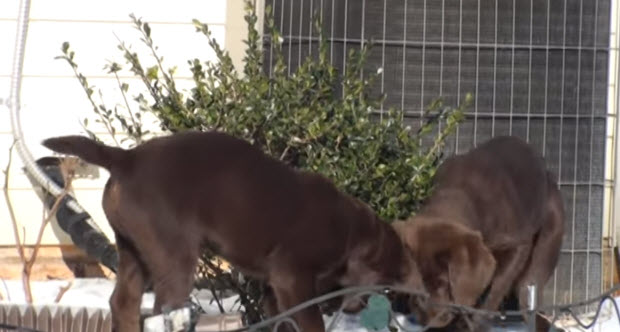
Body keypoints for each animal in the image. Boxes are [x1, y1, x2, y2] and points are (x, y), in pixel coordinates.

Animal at [41, 131, 424, 332]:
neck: (348, 229)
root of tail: (126, 158)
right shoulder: (292, 278)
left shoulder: (273, 291)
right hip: (174, 254)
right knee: (165, 310)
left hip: (133, 249)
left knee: (123, 303)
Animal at [394, 136, 564, 330]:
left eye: (443, 283)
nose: (426, 317)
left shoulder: (517, 246)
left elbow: (496, 288)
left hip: (547, 241)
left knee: (527, 291)